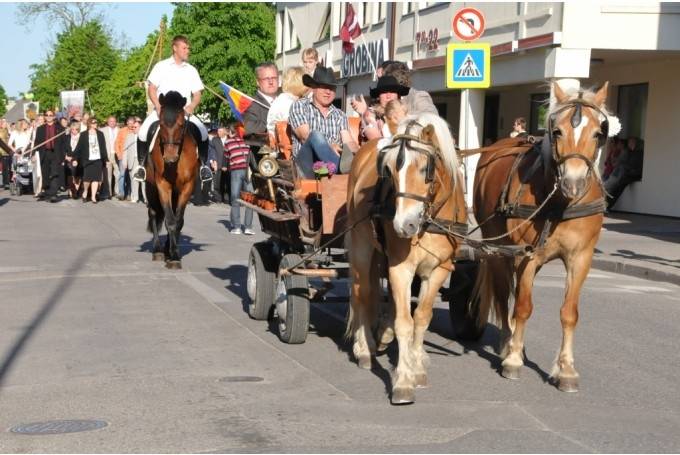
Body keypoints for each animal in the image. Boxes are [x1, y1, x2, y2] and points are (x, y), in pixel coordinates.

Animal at [143, 92, 197, 268]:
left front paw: (172, 253)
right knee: (153, 213)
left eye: (181, 124)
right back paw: (158, 250)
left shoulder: (187, 187)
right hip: (151, 188)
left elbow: (178, 221)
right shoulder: (163, 186)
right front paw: (172, 255)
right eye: (161, 124)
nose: (170, 158)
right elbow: (170, 220)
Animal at [348, 114, 470, 406]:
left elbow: (422, 318)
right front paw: (403, 381)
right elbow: (405, 323)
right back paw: (365, 348)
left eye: (426, 168)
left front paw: (416, 365)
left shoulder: (438, 270)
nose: (404, 226)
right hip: (360, 245)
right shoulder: (401, 268)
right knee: (361, 293)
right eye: (390, 171)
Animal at [470, 83, 612, 392]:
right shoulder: (527, 255)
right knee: (503, 296)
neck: (559, 203)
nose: (573, 183)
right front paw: (513, 360)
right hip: (498, 248)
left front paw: (566, 369)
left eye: (598, 133)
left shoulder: (581, 258)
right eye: (557, 131)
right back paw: (507, 343)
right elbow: (523, 307)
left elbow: (570, 313)